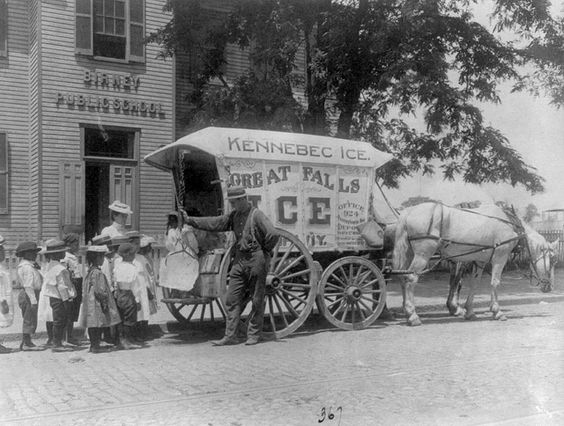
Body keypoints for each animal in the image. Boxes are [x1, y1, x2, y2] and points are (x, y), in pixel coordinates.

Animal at [392, 203, 556, 326]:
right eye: (553, 259)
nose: (549, 287)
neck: (511, 224)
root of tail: (408, 211)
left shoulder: (480, 261)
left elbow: (474, 284)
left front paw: (469, 311)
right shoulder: (500, 257)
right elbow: (495, 283)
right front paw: (497, 311)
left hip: (409, 254)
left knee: (402, 278)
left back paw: (407, 312)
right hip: (423, 254)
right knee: (411, 279)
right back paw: (412, 315)